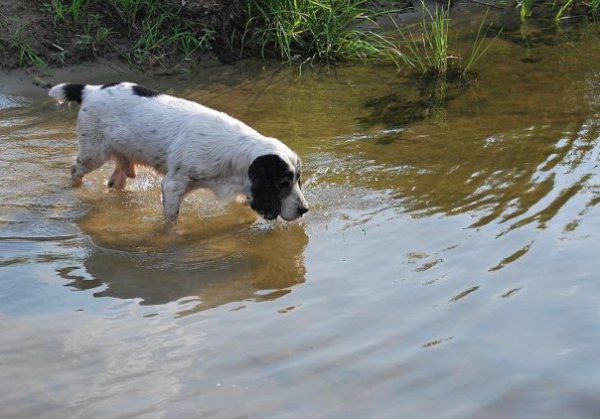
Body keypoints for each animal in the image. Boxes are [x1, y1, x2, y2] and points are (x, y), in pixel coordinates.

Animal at [49, 81, 310, 223]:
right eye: (283, 183)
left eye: (298, 180)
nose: (304, 210)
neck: (235, 154)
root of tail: (90, 90)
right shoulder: (173, 185)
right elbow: (171, 219)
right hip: (93, 154)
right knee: (75, 171)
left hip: (120, 161)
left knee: (116, 181)